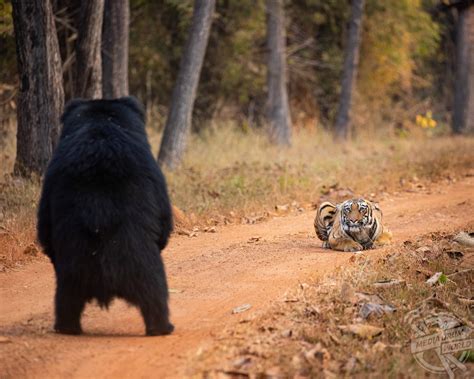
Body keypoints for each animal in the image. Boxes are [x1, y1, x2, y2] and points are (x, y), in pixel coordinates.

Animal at [37, 96, 174, 336]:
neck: (101, 122)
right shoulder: (153, 173)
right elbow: (164, 215)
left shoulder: (52, 177)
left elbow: (44, 222)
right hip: (139, 260)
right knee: (155, 292)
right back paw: (163, 327)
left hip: (74, 266)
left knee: (66, 300)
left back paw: (67, 327)